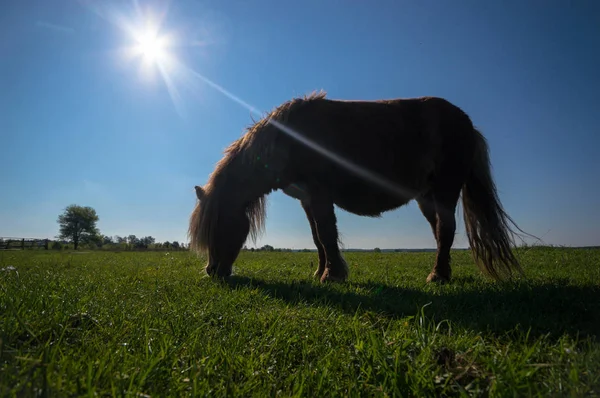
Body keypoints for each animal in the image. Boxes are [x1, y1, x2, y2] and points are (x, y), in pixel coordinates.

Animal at [189, 91, 528, 282]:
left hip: (445, 190)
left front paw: (333, 275)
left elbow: (326, 233)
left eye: (219, 224)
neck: (290, 140)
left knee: (446, 229)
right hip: (427, 197)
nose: (212, 272)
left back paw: (438, 276)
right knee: (439, 231)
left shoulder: (320, 194)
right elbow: (317, 238)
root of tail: (467, 124)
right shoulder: (307, 199)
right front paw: (320, 272)